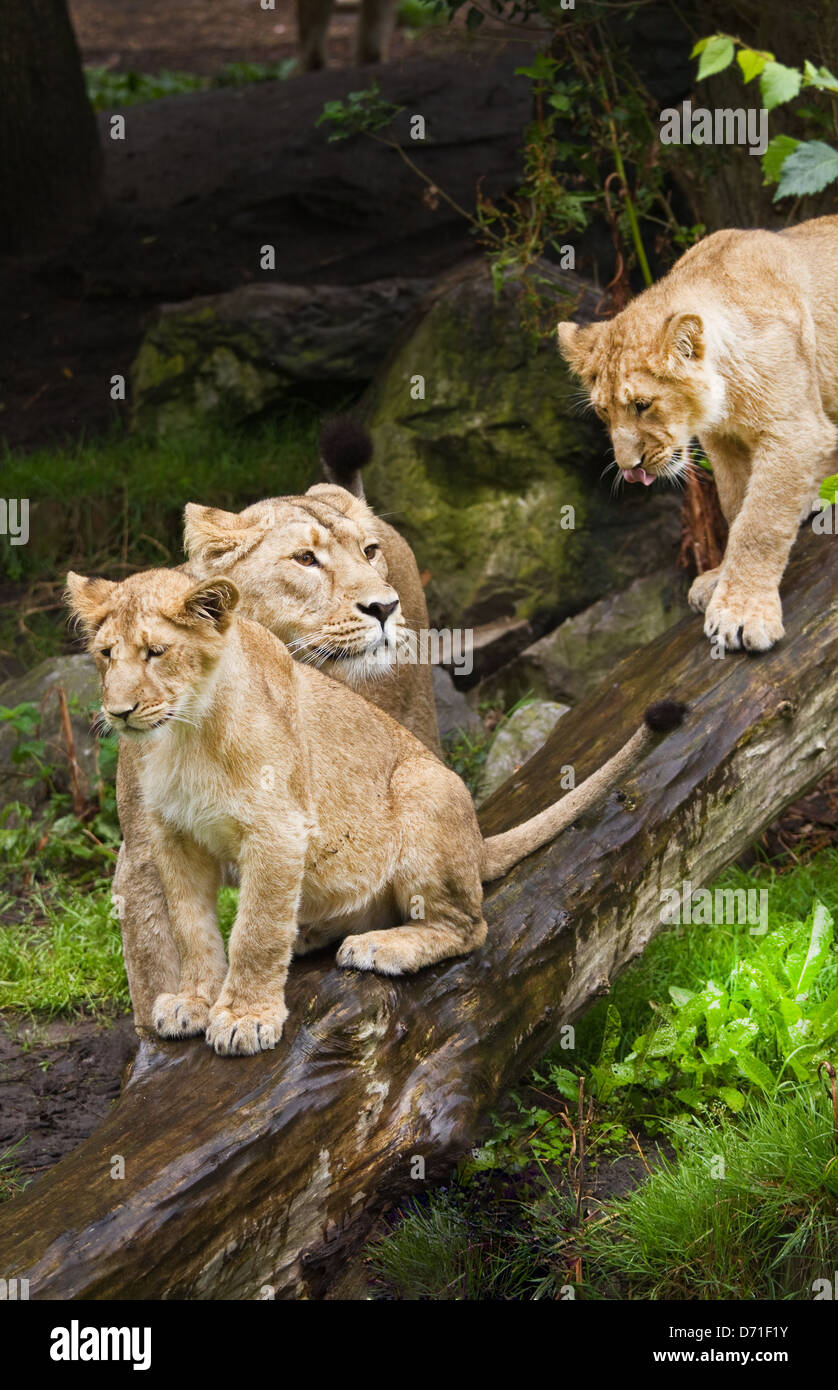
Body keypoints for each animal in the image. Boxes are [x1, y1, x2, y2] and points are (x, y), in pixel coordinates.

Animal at [68, 565, 684, 1056]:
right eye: (105, 655)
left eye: (156, 652)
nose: (118, 712)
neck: (183, 734)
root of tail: (477, 843)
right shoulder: (174, 838)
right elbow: (191, 928)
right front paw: (194, 1000)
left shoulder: (278, 828)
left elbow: (255, 932)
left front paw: (244, 1018)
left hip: (424, 785)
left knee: (469, 926)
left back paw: (379, 946)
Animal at [112, 419, 442, 1032]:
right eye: (305, 559)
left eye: (368, 552)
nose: (385, 606)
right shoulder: (145, 846)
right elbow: (156, 951)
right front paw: (179, 1009)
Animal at [558, 214, 838, 653]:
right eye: (603, 411)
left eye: (643, 405)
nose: (628, 468)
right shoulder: (723, 442)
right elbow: (735, 505)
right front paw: (720, 578)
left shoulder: (795, 429)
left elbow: (760, 523)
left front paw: (742, 613)